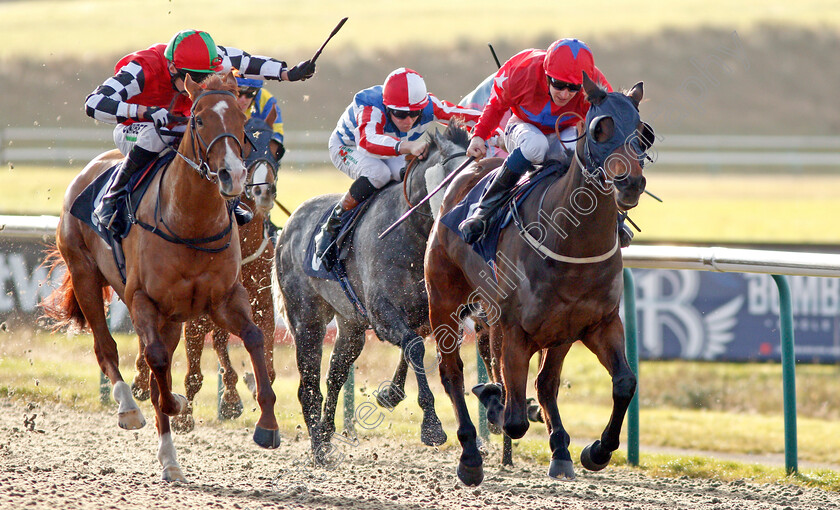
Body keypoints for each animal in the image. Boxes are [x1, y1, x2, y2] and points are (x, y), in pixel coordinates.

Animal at [132, 109, 282, 432]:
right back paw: (140, 379)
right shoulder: (195, 309)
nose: (264, 191)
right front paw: (184, 415)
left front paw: (246, 392)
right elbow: (194, 368)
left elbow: (264, 358)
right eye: (249, 144)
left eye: (277, 149)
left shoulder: (260, 303)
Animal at [272, 122, 482, 458]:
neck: (412, 234)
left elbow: (415, 346)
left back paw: (326, 433)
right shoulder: (382, 313)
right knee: (308, 384)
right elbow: (414, 347)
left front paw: (392, 394)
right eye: (458, 184)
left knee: (335, 374)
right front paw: (432, 425)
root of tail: (287, 227)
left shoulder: (430, 314)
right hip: (306, 318)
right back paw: (318, 447)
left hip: (351, 326)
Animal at [424, 72, 652, 486]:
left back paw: (558, 448)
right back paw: (470, 455)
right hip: (444, 300)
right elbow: (513, 416)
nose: (629, 183)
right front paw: (496, 404)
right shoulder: (516, 329)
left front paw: (595, 451)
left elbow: (624, 383)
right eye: (600, 128)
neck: (572, 245)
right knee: (452, 372)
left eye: (642, 132)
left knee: (543, 383)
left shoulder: (595, 323)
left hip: (548, 331)